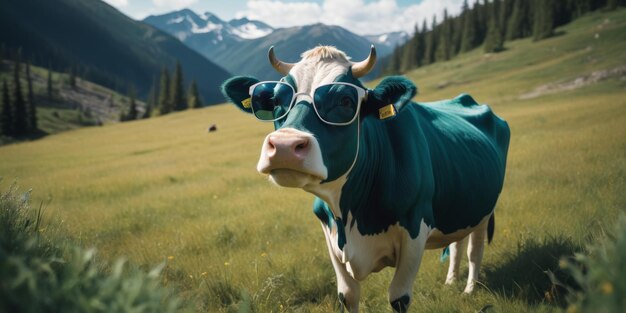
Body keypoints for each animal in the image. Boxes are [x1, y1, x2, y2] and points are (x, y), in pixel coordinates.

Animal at [219, 45, 508, 310]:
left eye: (346, 101)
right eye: (277, 101)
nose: (284, 147)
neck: (353, 215)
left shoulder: (415, 226)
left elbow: (399, 297)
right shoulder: (329, 232)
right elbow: (347, 295)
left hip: (485, 209)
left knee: (474, 250)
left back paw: (469, 289)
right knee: (458, 244)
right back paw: (450, 282)